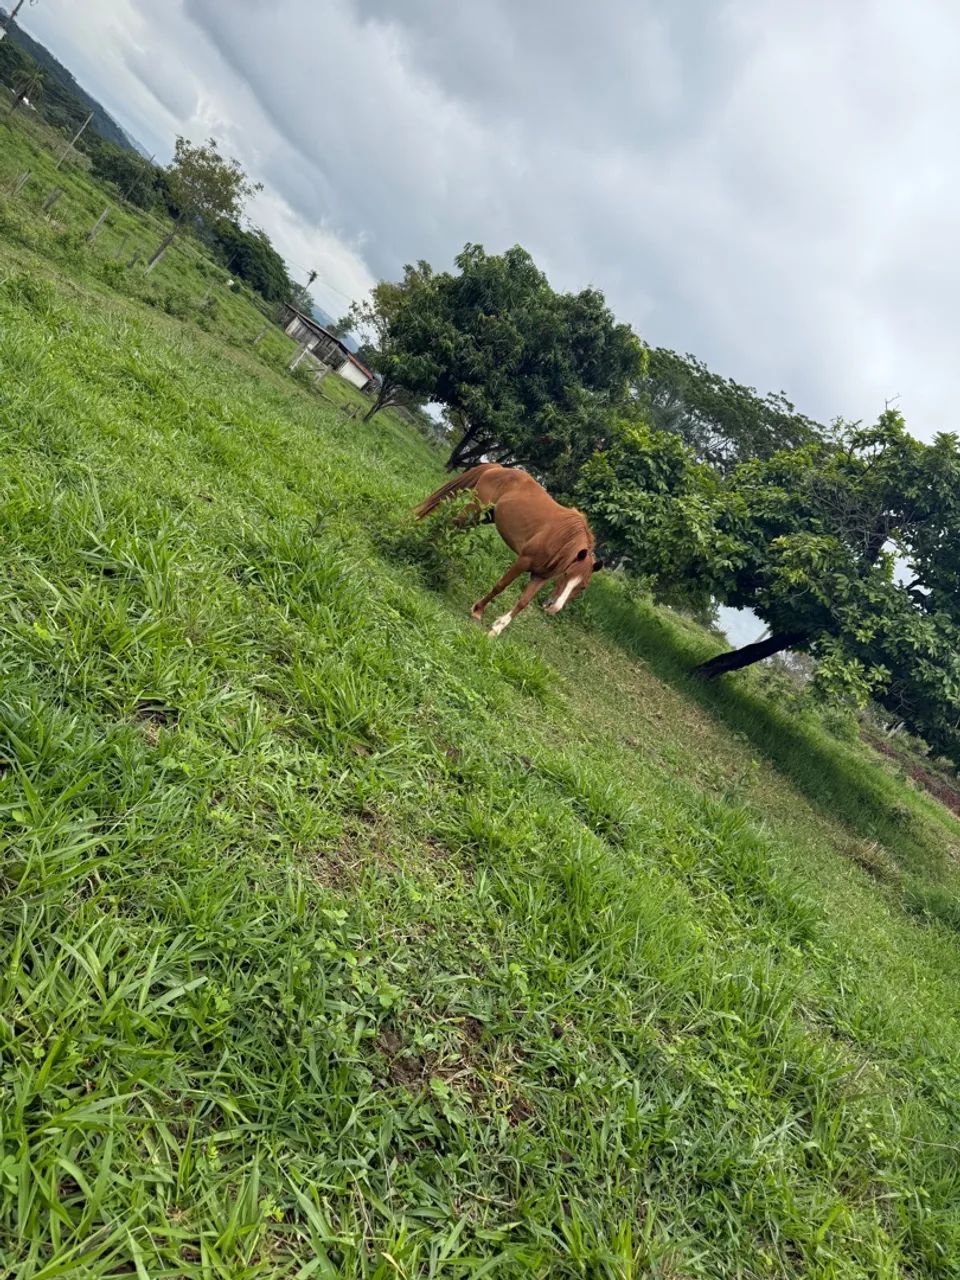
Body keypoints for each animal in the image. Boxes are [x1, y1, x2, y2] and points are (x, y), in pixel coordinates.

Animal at [413, 463, 604, 637]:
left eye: (583, 587)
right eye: (566, 575)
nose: (553, 608)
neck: (561, 541)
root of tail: (499, 468)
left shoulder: (540, 576)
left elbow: (523, 603)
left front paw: (497, 628)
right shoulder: (524, 560)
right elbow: (501, 586)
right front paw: (478, 611)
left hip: (484, 517)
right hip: (473, 511)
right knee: (448, 525)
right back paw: (424, 550)